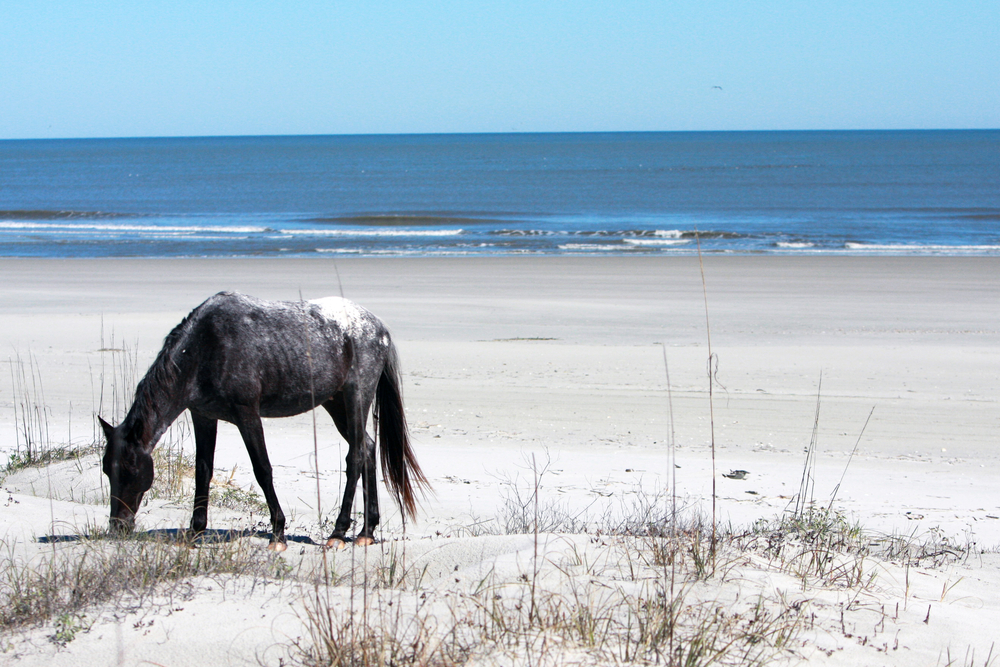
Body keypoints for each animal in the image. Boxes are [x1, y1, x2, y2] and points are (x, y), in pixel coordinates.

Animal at [99, 294, 428, 552]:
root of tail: (379, 327)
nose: (118, 526)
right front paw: (195, 531)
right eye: (106, 470)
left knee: (356, 457)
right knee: (368, 449)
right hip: (336, 404)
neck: (205, 347)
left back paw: (338, 532)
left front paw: (278, 534)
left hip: (355, 397)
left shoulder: (247, 415)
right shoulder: (203, 416)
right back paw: (366, 532)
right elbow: (203, 471)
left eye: (130, 469)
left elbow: (263, 470)